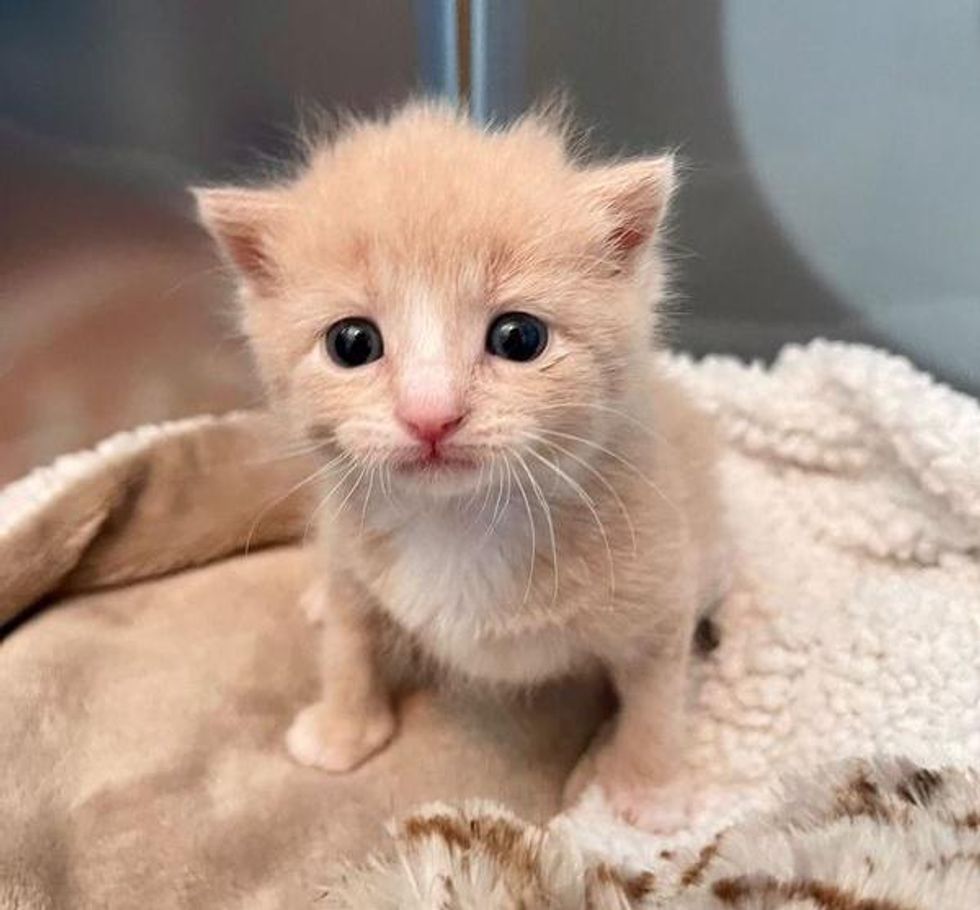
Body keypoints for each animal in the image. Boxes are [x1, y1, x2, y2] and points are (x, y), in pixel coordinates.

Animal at [193, 100, 728, 828]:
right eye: (352, 342)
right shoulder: (352, 549)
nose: (430, 415)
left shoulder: (658, 586)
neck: (456, 522)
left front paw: (649, 791)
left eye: (520, 337)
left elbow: (655, 698)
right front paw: (341, 730)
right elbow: (349, 640)